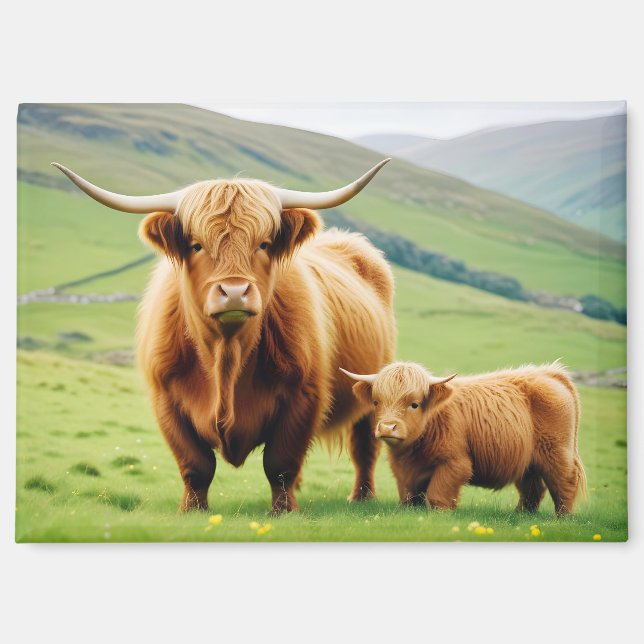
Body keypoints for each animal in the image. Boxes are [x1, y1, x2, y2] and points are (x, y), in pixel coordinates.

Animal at [53, 160, 396, 514]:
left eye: (264, 244)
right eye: (196, 245)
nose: (234, 292)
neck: (226, 357)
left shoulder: (303, 395)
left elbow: (280, 463)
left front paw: (283, 511)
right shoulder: (166, 400)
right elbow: (196, 465)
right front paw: (192, 511)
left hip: (373, 388)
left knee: (364, 447)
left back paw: (362, 497)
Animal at [341, 361, 587, 516]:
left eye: (414, 404)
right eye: (376, 402)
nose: (387, 427)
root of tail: (550, 373)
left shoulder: (455, 464)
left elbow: (438, 493)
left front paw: (440, 514)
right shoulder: (404, 469)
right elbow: (409, 494)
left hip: (557, 452)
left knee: (564, 482)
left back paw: (562, 518)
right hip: (528, 461)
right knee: (532, 488)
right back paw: (522, 515)